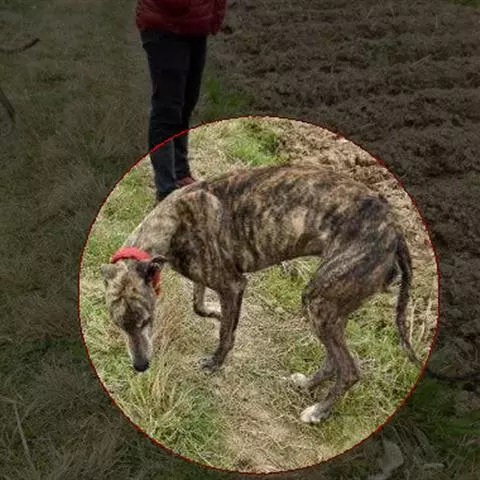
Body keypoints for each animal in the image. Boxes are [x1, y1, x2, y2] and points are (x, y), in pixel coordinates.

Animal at [101, 163, 418, 423]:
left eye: (146, 320)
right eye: (119, 325)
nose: (140, 366)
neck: (173, 220)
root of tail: (396, 230)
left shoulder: (233, 284)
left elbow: (225, 334)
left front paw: (215, 362)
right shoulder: (205, 277)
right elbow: (198, 304)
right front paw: (215, 312)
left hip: (320, 300)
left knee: (350, 369)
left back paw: (318, 412)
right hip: (334, 307)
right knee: (334, 361)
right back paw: (307, 384)